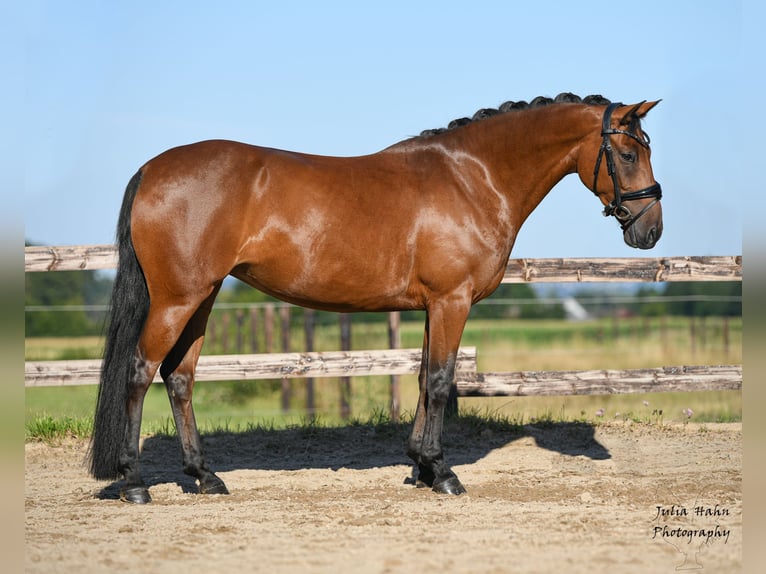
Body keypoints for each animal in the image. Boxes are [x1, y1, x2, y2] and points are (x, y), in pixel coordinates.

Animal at [88, 93, 664, 504]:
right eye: (628, 153)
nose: (651, 230)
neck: (473, 177)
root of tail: (152, 170)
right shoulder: (452, 301)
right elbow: (441, 381)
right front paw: (443, 473)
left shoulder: (434, 306)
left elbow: (424, 378)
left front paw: (419, 468)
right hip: (176, 299)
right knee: (140, 372)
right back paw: (135, 483)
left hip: (201, 298)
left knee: (179, 377)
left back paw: (206, 477)